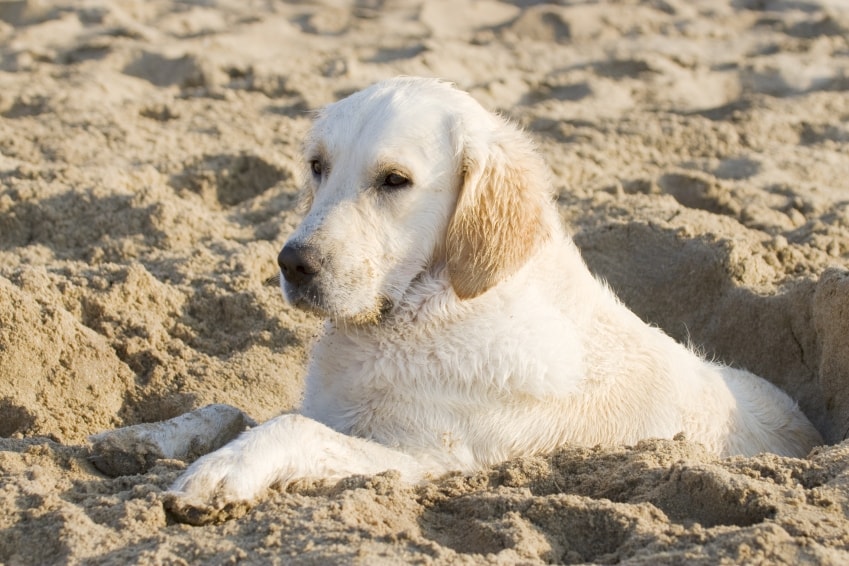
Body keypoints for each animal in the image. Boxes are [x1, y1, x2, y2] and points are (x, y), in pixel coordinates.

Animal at [167, 77, 820, 520]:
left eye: (395, 181)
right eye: (317, 166)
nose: (292, 264)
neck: (427, 306)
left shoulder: (428, 458)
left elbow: (293, 428)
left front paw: (221, 473)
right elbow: (222, 410)